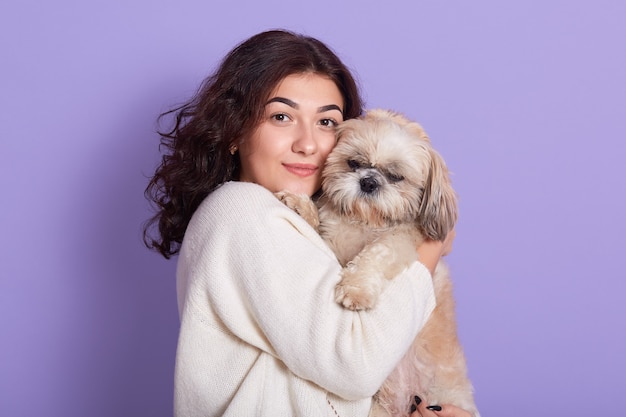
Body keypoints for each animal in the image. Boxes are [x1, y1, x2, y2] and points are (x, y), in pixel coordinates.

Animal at [276, 108, 478, 416]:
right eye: (354, 163)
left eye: (395, 176)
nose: (369, 181)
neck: (365, 222)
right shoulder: (332, 244)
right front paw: (302, 207)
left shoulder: (400, 241)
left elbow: (376, 252)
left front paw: (356, 289)